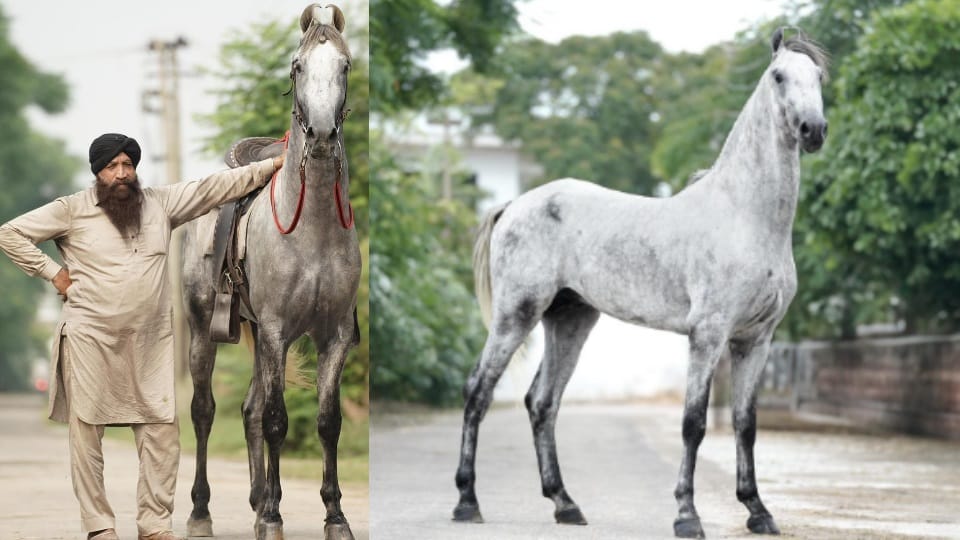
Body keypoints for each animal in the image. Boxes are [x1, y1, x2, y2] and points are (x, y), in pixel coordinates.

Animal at [181, 4, 360, 540]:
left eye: (345, 66)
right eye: (297, 67)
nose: (320, 136)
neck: (314, 225)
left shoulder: (332, 336)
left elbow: (327, 422)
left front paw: (334, 516)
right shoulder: (279, 332)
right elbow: (279, 420)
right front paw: (275, 518)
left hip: (258, 336)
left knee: (249, 411)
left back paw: (259, 498)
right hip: (204, 332)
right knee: (205, 411)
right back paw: (202, 513)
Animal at [453, 28, 828, 538]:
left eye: (819, 76)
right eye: (778, 76)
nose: (813, 130)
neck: (745, 216)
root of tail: (514, 205)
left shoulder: (756, 339)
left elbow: (746, 423)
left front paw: (758, 511)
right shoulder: (708, 335)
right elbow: (693, 422)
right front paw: (687, 516)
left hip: (570, 320)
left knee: (542, 402)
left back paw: (565, 504)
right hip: (517, 314)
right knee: (479, 392)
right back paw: (467, 502)